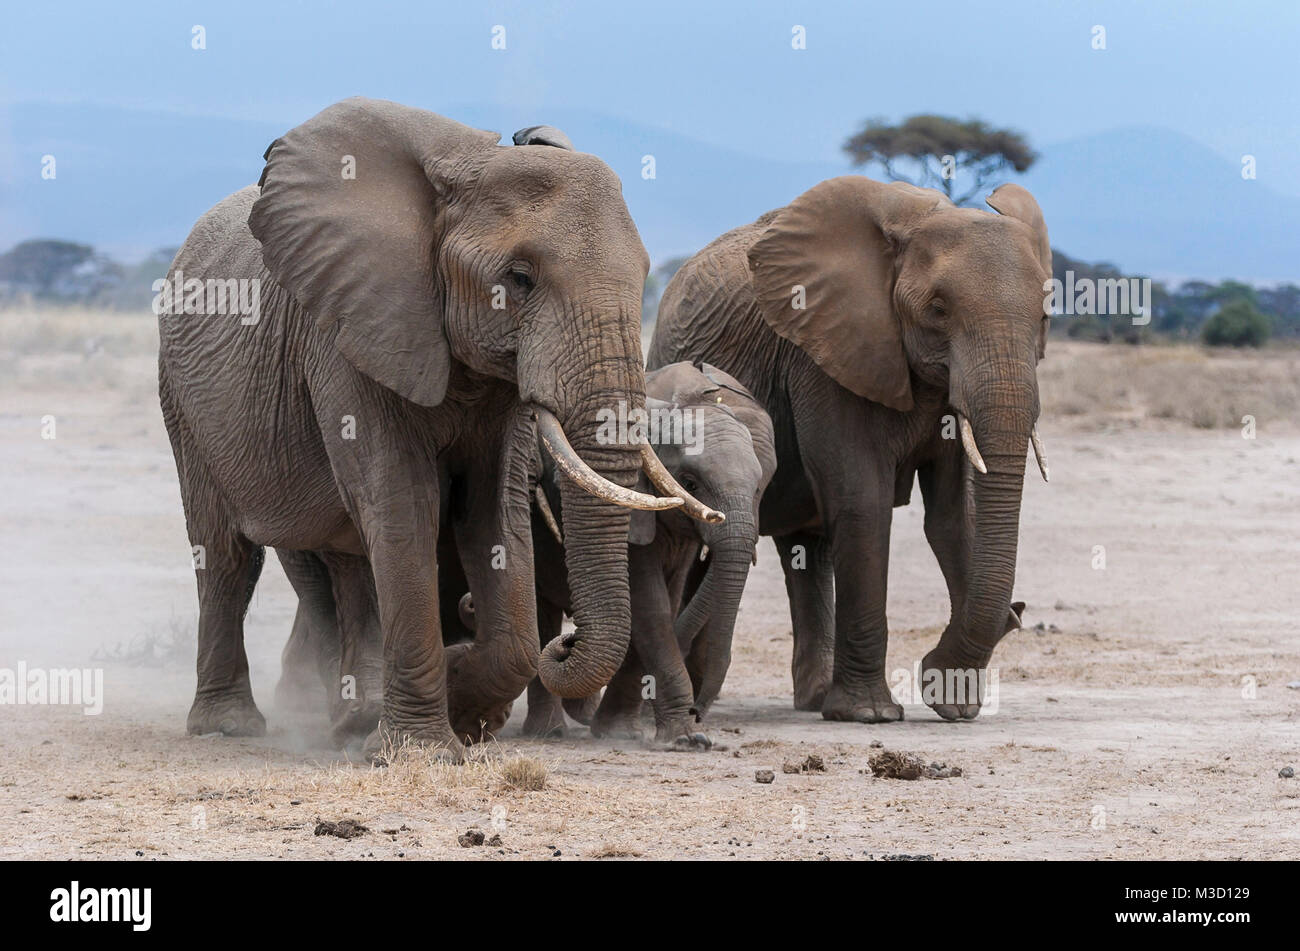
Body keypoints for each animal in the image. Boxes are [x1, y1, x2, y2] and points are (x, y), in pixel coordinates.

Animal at [159, 94, 722, 758]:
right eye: (519, 279)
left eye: (644, 276)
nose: (566, 641)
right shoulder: (352, 334)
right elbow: (405, 504)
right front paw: (421, 747)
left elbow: (491, 513)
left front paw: (467, 710)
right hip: (182, 399)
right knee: (226, 555)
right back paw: (231, 725)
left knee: (347, 558)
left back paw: (353, 717)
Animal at [522, 361, 774, 748]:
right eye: (689, 483)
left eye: (760, 486)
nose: (698, 712)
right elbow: (649, 606)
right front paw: (687, 740)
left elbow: (666, 602)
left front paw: (617, 732)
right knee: (541, 612)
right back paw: (548, 731)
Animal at [644, 176, 1050, 722]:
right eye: (939, 309)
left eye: (1045, 316)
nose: (930, 670)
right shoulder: (823, 351)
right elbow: (863, 502)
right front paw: (872, 715)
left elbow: (953, 516)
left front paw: (954, 705)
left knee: (807, 547)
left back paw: (815, 700)